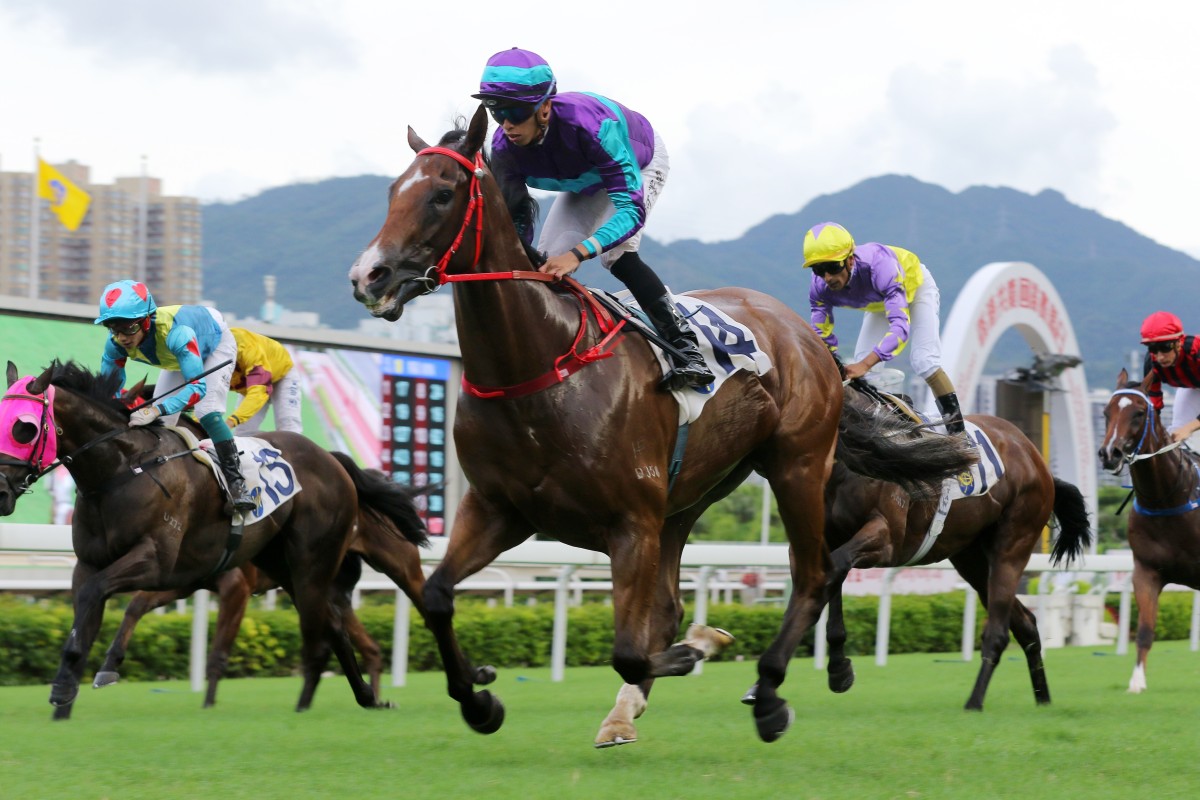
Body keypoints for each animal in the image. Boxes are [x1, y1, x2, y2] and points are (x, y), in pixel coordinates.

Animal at [0, 362, 429, 719]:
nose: (1, 490)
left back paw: (311, 703)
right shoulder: (104, 565)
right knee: (335, 626)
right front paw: (65, 694)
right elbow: (91, 614)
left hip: (317, 562)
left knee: (328, 629)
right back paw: (366, 697)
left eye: (25, 427)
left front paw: (69, 685)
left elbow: (98, 598)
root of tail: (332, 458)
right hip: (287, 567)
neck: (121, 470)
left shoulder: (158, 561)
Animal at [343, 106, 979, 743]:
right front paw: (479, 698)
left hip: (795, 466)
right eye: (393, 191)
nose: (369, 276)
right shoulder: (499, 508)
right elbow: (436, 594)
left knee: (813, 573)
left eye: (442, 194)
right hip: (691, 493)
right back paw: (632, 710)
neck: (538, 367)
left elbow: (629, 649)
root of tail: (810, 339)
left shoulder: (630, 521)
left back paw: (769, 691)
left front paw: (702, 645)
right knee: (683, 598)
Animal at [811, 393, 1094, 705]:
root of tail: (1036, 458)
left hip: (1014, 542)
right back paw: (1042, 698)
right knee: (1026, 623)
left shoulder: (885, 538)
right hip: (972, 560)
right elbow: (833, 574)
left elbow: (839, 565)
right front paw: (838, 669)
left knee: (999, 631)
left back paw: (975, 702)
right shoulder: (833, 536)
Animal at [1099, 371, 1200, 690]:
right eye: (1106, 412)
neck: (1168, 497)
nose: (1110, 453)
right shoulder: (1146, 570)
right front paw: (1136, 682)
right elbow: (1144, 630)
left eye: (1139, 413)